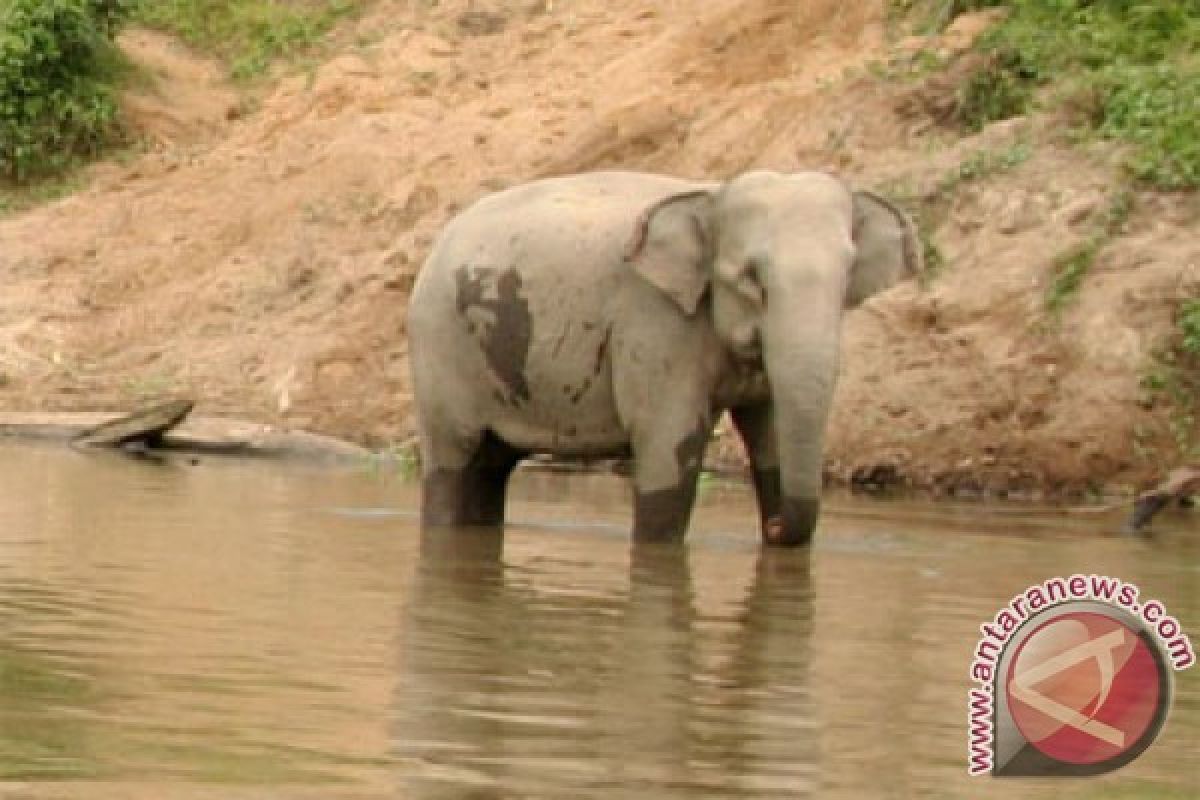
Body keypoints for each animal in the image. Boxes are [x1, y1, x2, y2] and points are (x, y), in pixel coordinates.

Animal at [408, 167, 921, 544]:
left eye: (848, 275)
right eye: (752, 279)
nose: (773, 528)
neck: (712, 195)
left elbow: (771, 433)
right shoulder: (655, 322)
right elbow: (669, 448)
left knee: (491, 466)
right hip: (438, 348)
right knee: (454, 461)